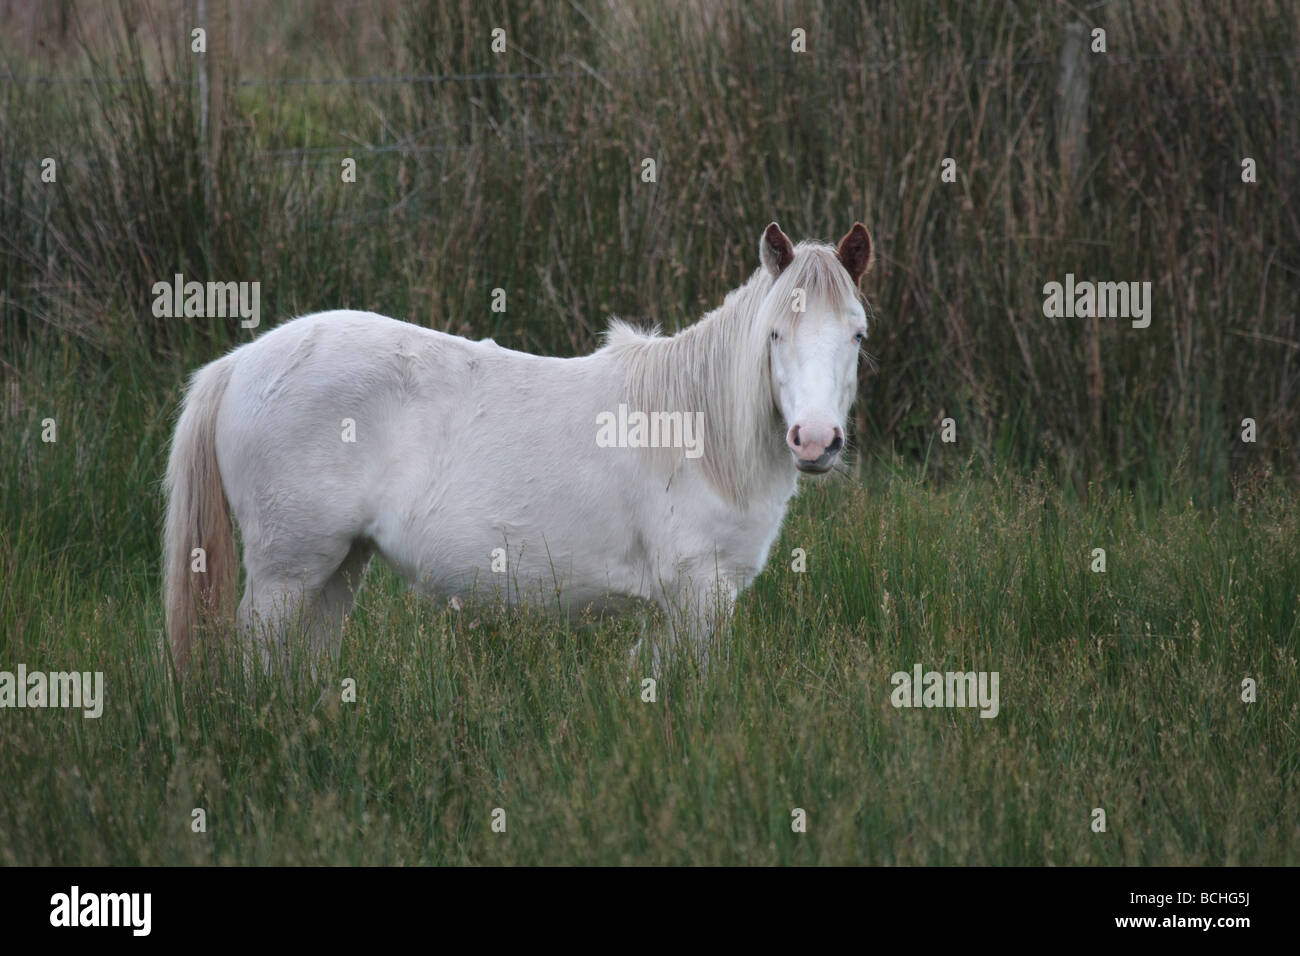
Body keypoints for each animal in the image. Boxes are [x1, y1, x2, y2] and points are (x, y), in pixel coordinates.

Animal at [162, 223, 873, 671]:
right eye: (775, 334)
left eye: (858, 335)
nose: (815, 439)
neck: (696, 432)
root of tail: (241, 363)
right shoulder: (700, 598)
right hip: (287, 574)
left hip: (336, 570)